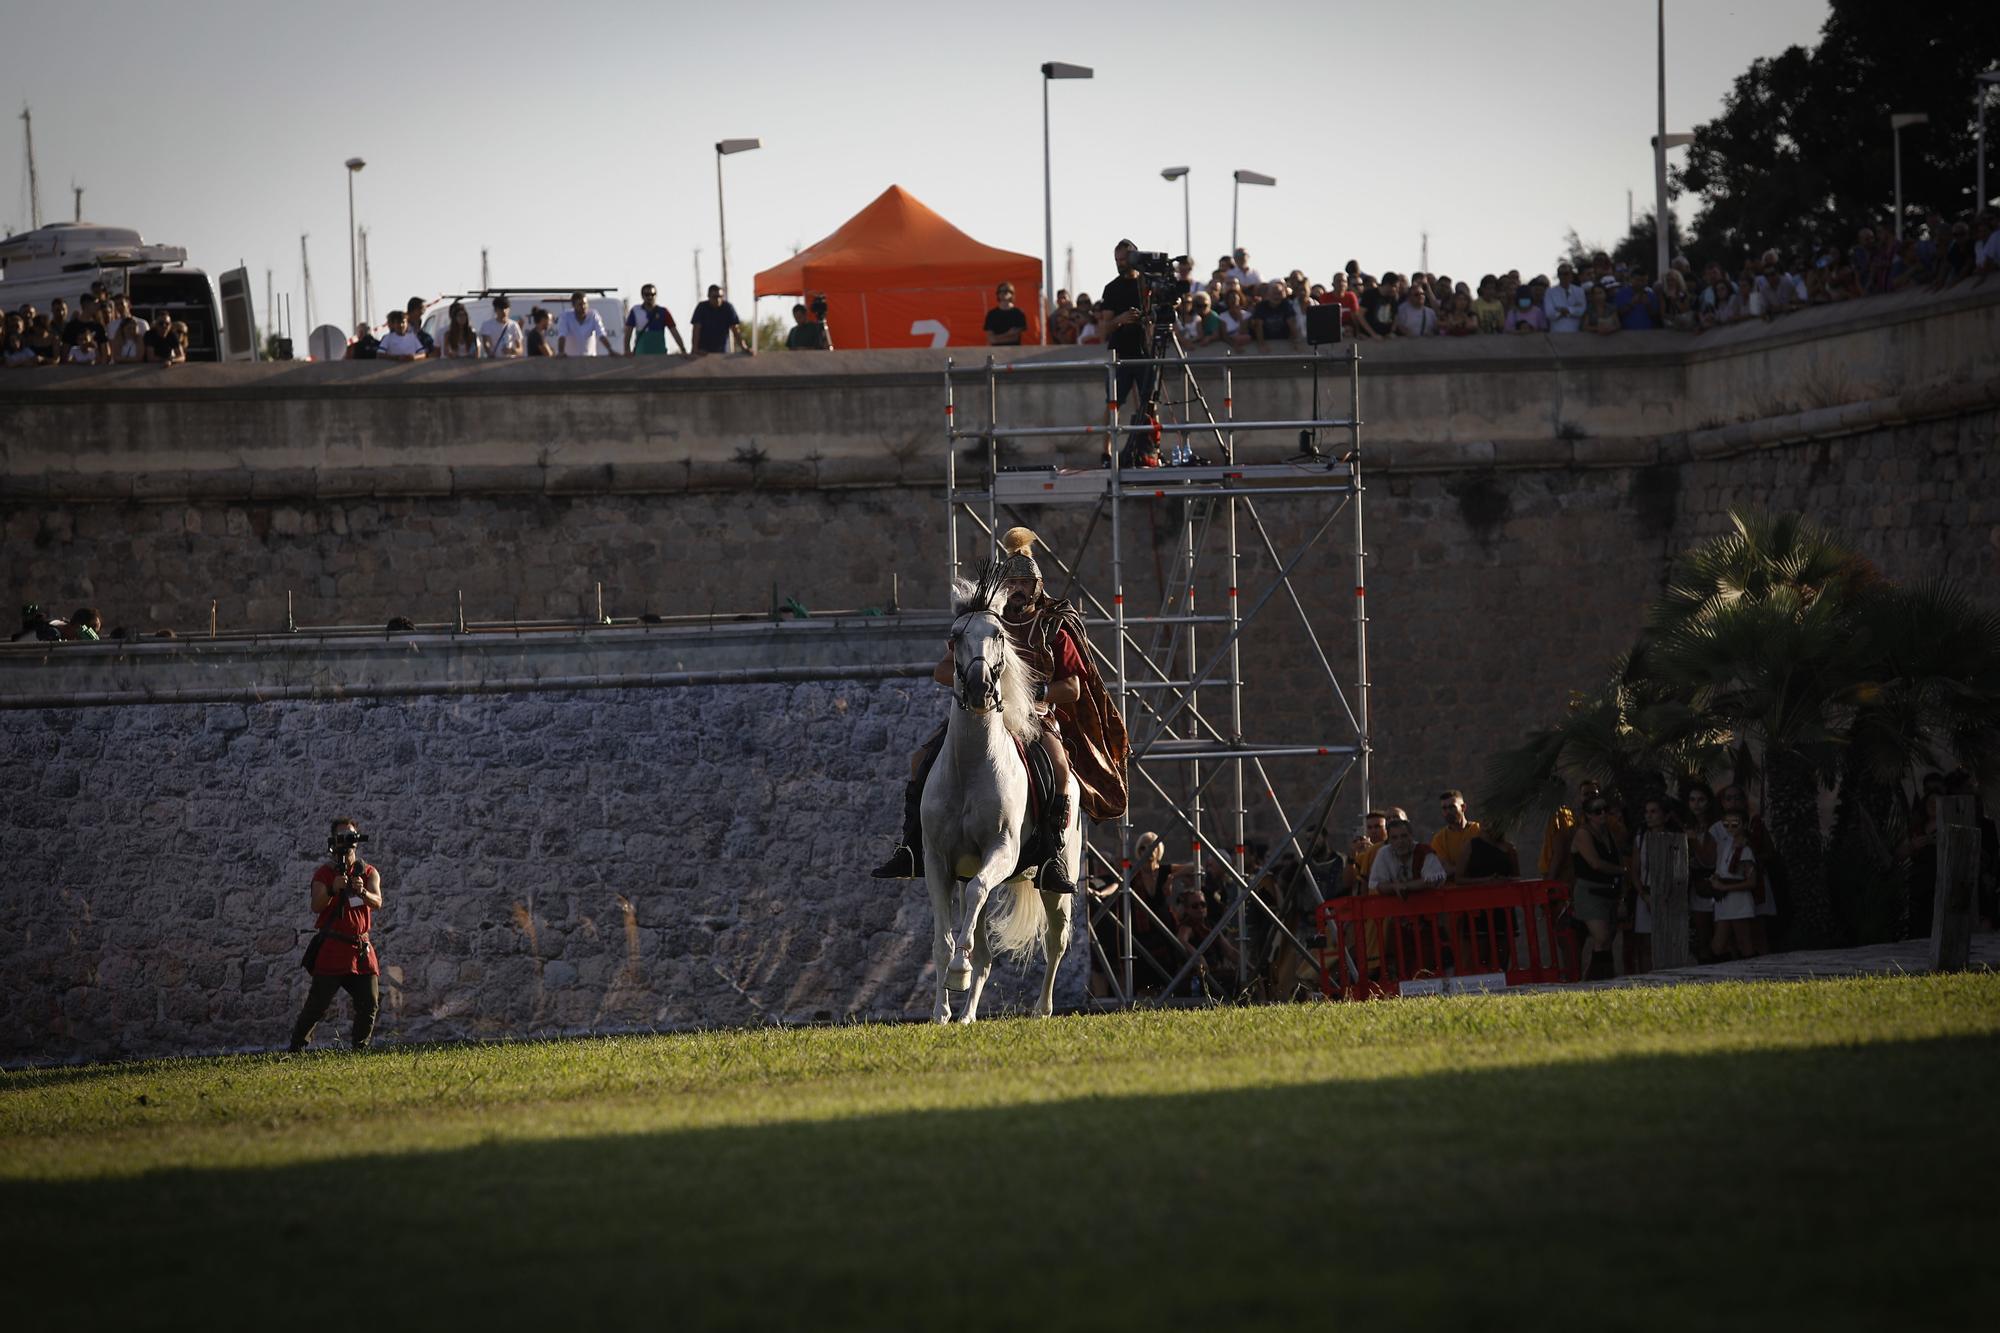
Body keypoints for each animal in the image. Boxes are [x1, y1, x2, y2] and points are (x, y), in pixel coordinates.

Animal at [920, 568, 1080, 1016]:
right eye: (955, 637)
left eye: (998, 635)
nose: (978, 687)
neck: (972, 768)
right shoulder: (938, 862)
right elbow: (942, 943)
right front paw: (941, 1012)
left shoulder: (1003, 852)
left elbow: (975, 900)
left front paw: (958, 973)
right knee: (986, 954)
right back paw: (966, 1016)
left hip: (1056, 879)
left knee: (1056, 940)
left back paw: (1041, 1009)